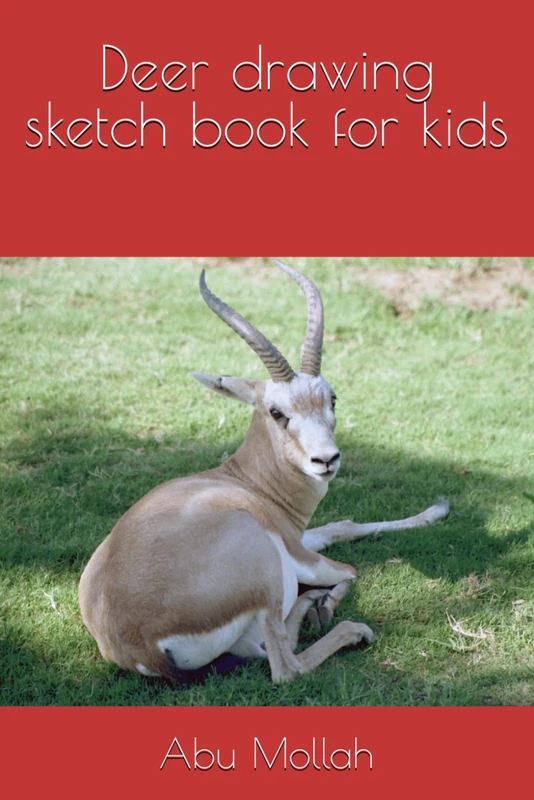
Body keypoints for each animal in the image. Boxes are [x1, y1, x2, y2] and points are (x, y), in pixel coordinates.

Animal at [79, 261, 449, 684]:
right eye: (276, 411)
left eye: (332, 398)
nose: (326, 460)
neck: (245, 483)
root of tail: (142, 645)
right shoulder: (298, 551)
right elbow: (350, 562)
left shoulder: (299, 537)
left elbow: (338, 526)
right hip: (267, 570)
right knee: (286, 665)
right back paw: (343, 623)